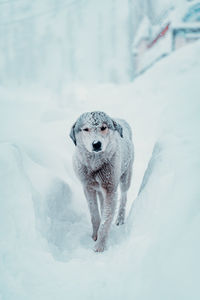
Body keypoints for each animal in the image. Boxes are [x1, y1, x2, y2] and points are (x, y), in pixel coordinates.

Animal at [69, 111, 134, 252]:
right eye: (86, 129)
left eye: (103, 127)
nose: (96, 143)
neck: (95, 167)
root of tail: (121, 120)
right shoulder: (88, 188)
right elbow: (95, 215)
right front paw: (95, 235)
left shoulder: (110, 190)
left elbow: (106, 220)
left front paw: (100, 245)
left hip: (125, 177)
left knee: (124, 197)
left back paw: (120, 218)